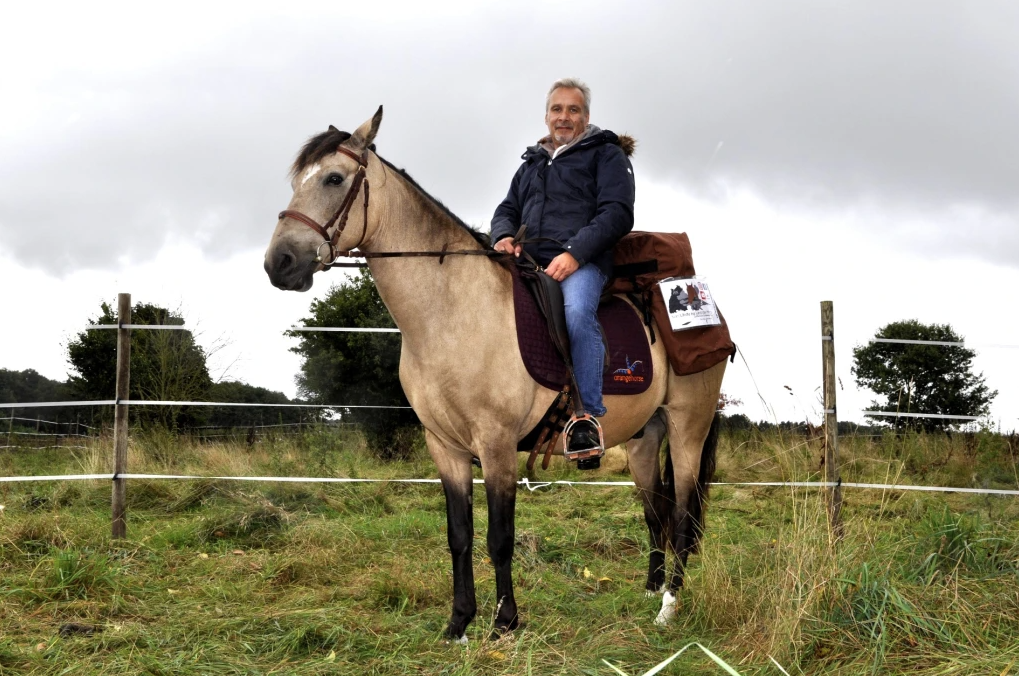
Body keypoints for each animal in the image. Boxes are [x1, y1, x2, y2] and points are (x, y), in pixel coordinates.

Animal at [262, 108, 725, 644]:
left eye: (334, 179)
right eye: (297, 181)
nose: (279, 263)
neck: (452, 313)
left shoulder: (497, 443)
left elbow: (499, 537)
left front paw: (505, 621)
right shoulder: (445, 446)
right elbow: (459, 535)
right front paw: (459, 621)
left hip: (687, 427)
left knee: (683, 513)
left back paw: (669, 604)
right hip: (644, 438)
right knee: (656, 512)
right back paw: (651, 589)